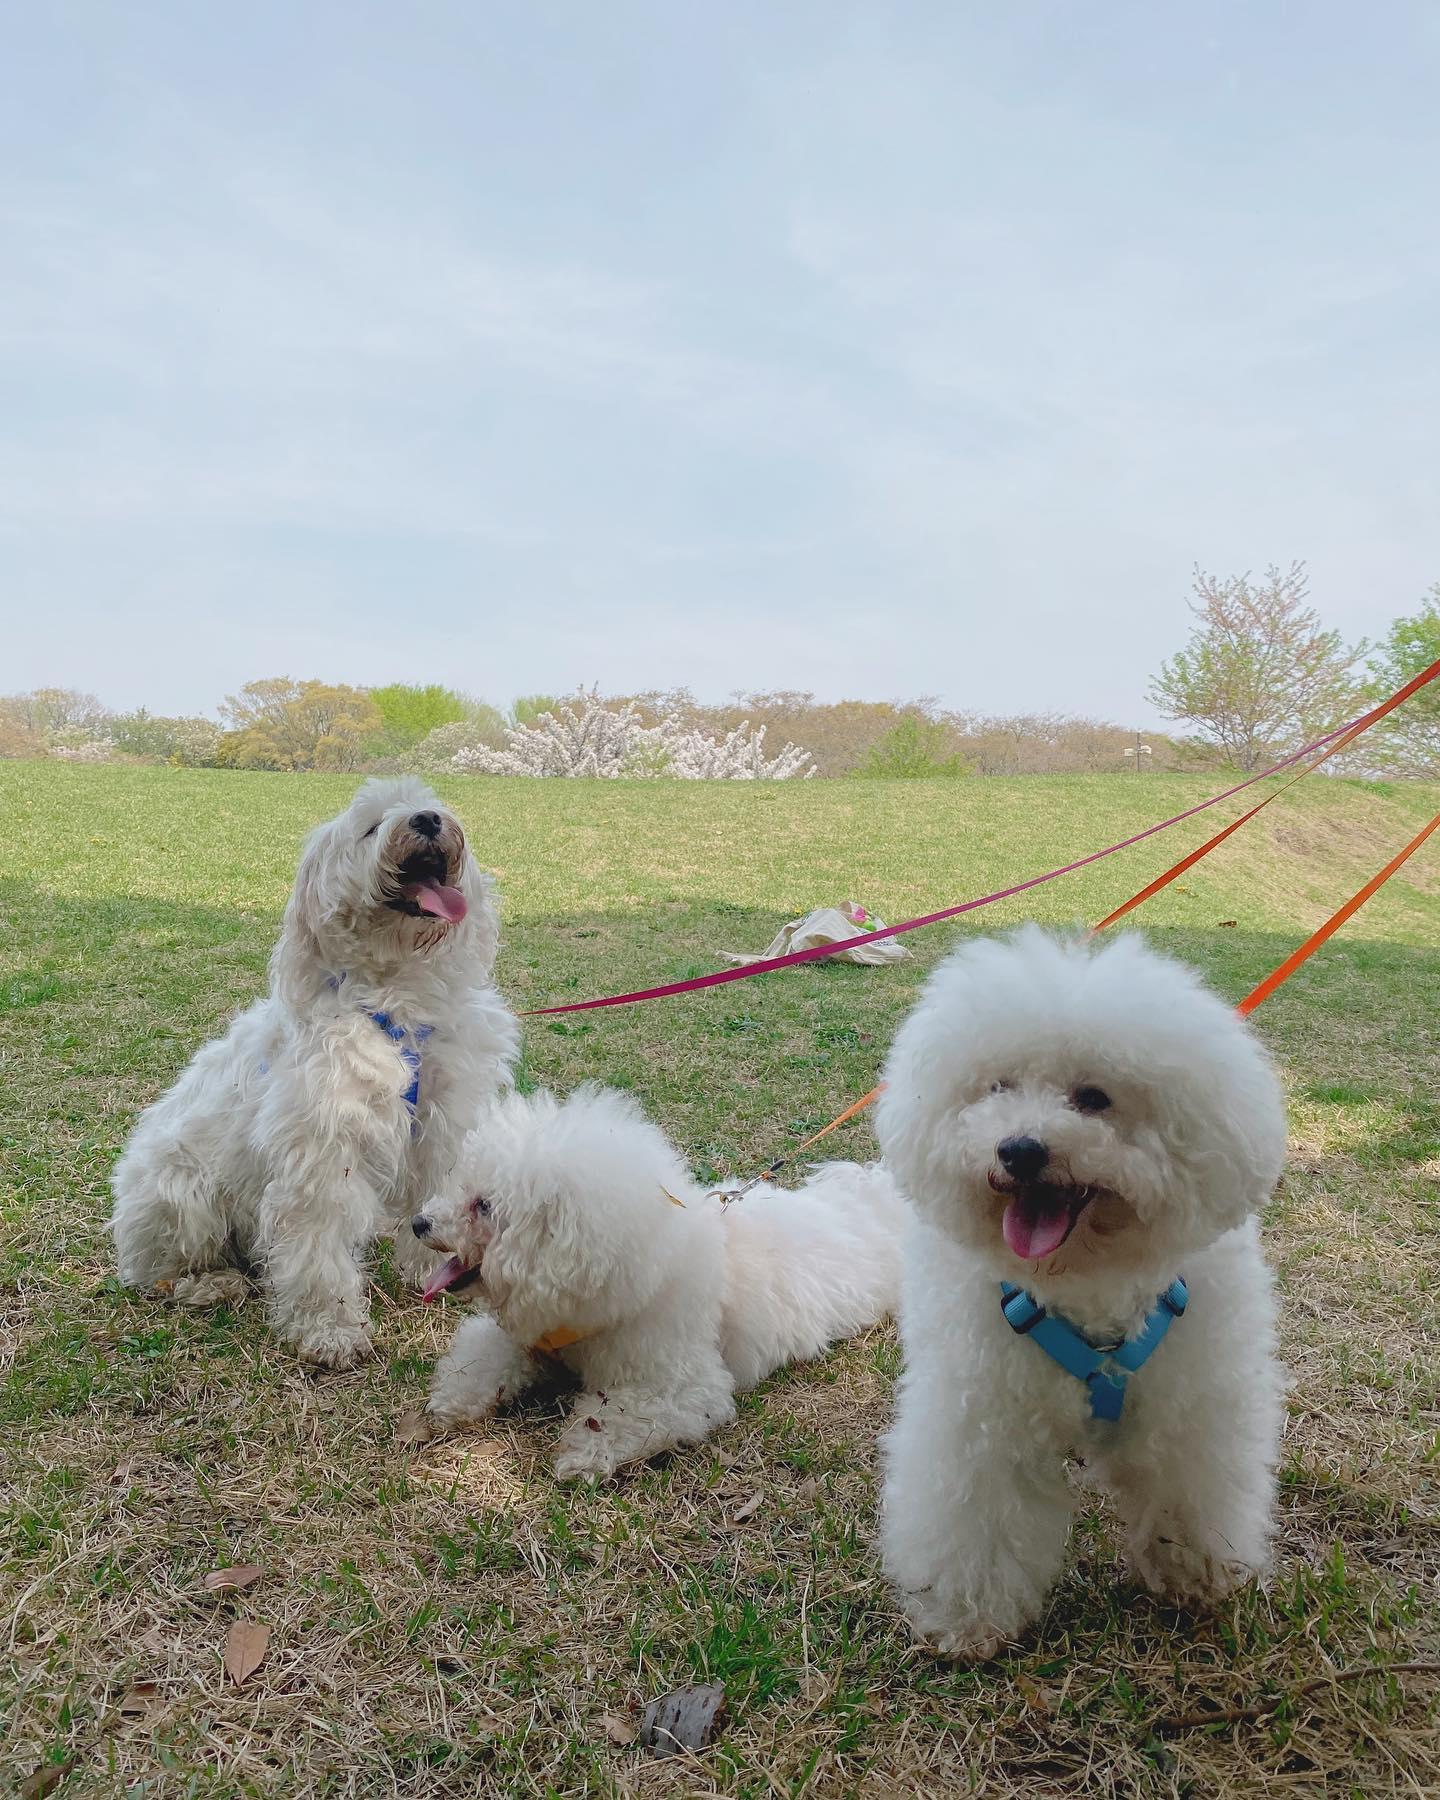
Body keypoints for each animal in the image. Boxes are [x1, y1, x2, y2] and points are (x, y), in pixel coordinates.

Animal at [110, 777, 519, 1368]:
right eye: (370, 827)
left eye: (429, 802)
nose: (425, 819)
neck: (397, 1009)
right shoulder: (323, 1154)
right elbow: (318, 1251)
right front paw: (330, 1330)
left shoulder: (441, 1126)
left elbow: (438, 1199)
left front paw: (435, 1268)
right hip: (182, 1195)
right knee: (157, 1274)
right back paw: (210, 1284)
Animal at [412, 1083, 906, 1479]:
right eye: (460, 1184)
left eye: (484, 1206)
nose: (419, 1223)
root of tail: (870, 1200)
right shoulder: (530, 1337)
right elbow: (482, 1360)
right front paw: (453, 1399)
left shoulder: (680, 1385)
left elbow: (623, 1416)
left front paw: (582, 1454)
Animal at [873, 926, 1288, 1659]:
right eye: (997, 1087)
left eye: (1093, 1097)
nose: (1019, 1150)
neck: (1083, 1281)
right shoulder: (980, 1419)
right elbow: (973, 1519)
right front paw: (967, 1620)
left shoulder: (1192, 1407)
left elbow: (1191, 1489)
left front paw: (1196, 1575)